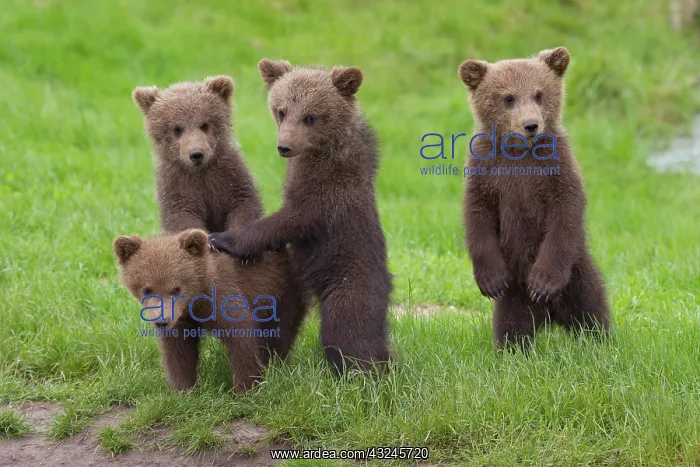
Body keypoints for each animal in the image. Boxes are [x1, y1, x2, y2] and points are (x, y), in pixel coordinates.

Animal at [114, 229, 307, 392]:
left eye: (176, 289)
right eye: (147, 289)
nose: (162, 321)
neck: (196, 300)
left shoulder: (224, 297)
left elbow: (241, 338)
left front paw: (245, 388)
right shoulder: (181, 319)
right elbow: (178, 350)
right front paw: (183, 389)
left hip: (281, 293)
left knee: (281, 332)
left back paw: (276, 367)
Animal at [132, 76, 263, 233]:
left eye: (204, 124)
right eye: (177, 129)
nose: (196, 154)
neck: (201, 171)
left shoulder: (230, 178)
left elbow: (244, 205)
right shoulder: (177, 187)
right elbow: (183, 218)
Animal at [208, 59, 392, 375]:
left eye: (310, 117)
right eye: (281, 110)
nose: (284, 147)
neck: (320, 152)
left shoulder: (327, 195)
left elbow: (292, 219)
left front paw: (222, 238)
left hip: (349, 282)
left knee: (347, 331)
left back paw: (365, 371)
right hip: (296, 283)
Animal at [458, 47, 610, 348]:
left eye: (539, 93)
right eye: (508, 97)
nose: (531, 125)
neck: (520, 154)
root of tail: (550, 317)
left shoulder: (557, 170)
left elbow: (565, 214)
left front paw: (542, 283)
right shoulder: (486, 172)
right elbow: (478, 217)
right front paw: (490, 281)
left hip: (578, 276)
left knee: (591, 310)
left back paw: (601, 341)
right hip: (516, 295)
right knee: (511, 325)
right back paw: (513, 348)